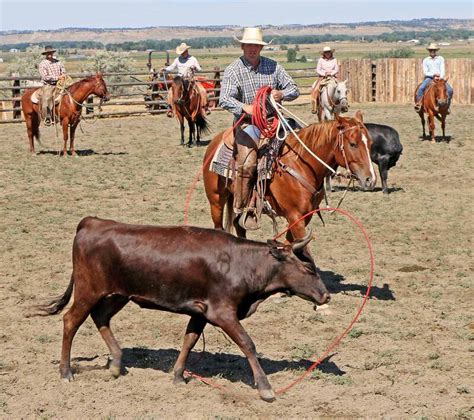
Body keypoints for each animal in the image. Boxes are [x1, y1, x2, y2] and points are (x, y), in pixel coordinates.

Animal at [32, 218, 330, 402]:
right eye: (308, 268)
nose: (325, 294)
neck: (241, 263)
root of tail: (93, 222)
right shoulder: (222, 313)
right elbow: (248, 344)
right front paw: (265, 388)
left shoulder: (200, 312)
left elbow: (189, 340)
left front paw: (178, 375)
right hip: (88, 290)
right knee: (71, 321)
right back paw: (66, 372)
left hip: (118, 294)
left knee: (100, 317)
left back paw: (116, 363)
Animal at [204, 111, 378, 241]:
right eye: (353, 144)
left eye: (370, 143)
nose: (370, 179)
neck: (302, 164)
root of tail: (216, 141)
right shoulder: (295, 216)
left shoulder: (304, 216)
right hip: (216, 201)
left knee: (239, 226)